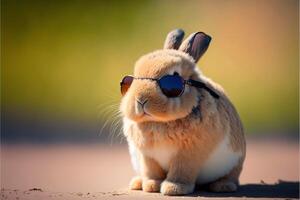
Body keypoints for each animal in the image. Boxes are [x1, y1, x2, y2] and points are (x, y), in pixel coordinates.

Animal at [119, 28, 246, 195]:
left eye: (173, 80)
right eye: (129, 81)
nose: (140, 100)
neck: (158, 122)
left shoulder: (187, 155)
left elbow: (181, 172)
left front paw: (174, 188)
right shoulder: (147, 156)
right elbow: (152, 172)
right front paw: (151, 186)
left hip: (234, 165)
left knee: (231, 177)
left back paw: (223, 186)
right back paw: (137, 183)